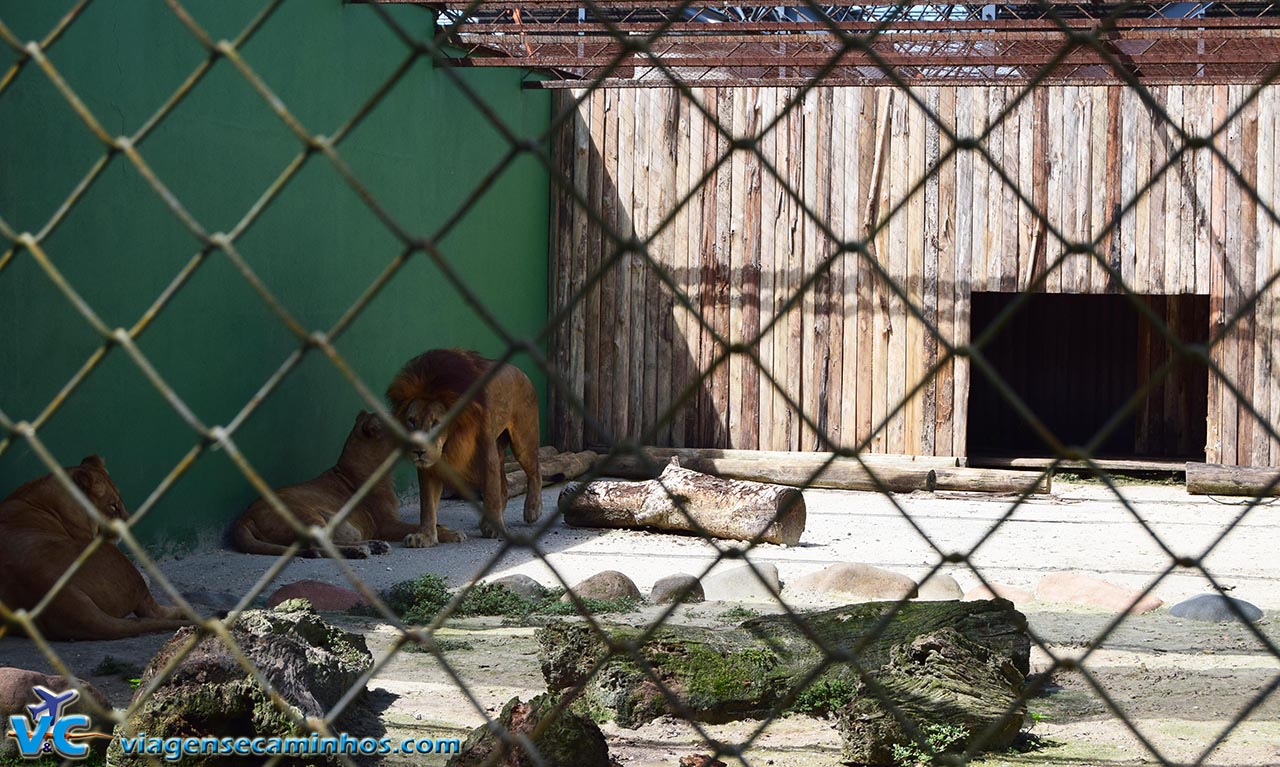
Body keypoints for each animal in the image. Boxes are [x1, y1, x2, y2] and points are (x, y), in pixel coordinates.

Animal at [227, 412, 412, 555]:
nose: (411, 422)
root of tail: (245, 517)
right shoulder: (386, 524)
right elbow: (413, 526)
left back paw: (375, 545)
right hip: (307, 516)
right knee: (317, 547)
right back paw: (359, 551)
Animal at [381, 348, 537, 545]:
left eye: (436, 422)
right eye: (411, 420)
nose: (418, 450)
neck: (453, 437)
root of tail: (520, 372)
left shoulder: (487, 454)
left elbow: (491, 494)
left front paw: (495, 528)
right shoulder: (431, 465)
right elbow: (427, 504)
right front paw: (425, 536)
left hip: (523, 441)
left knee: (534, 472)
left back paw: (533, 509)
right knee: (505, 486)